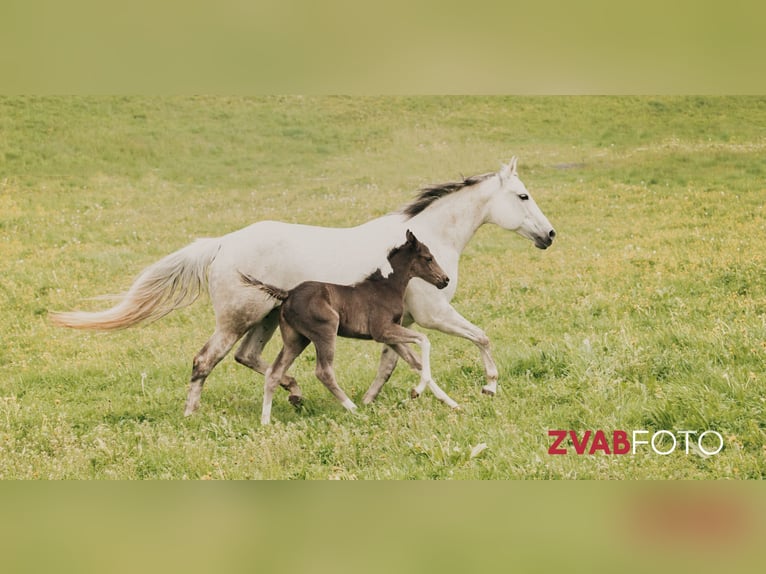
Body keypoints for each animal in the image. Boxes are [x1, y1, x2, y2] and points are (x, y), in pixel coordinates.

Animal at [241, 230, 459, 424]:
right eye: (428, 258)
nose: (445, 280)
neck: (387, 287)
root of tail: (288, 294)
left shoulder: (390, 336)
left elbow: (415, 362)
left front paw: (449, 402)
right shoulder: (382, 331)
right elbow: (424, 340)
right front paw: (418, 391)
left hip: (296, 339)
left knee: (274, 372)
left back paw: (265, 421)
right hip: (326, 331)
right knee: (323, 372)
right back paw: (354, 409)